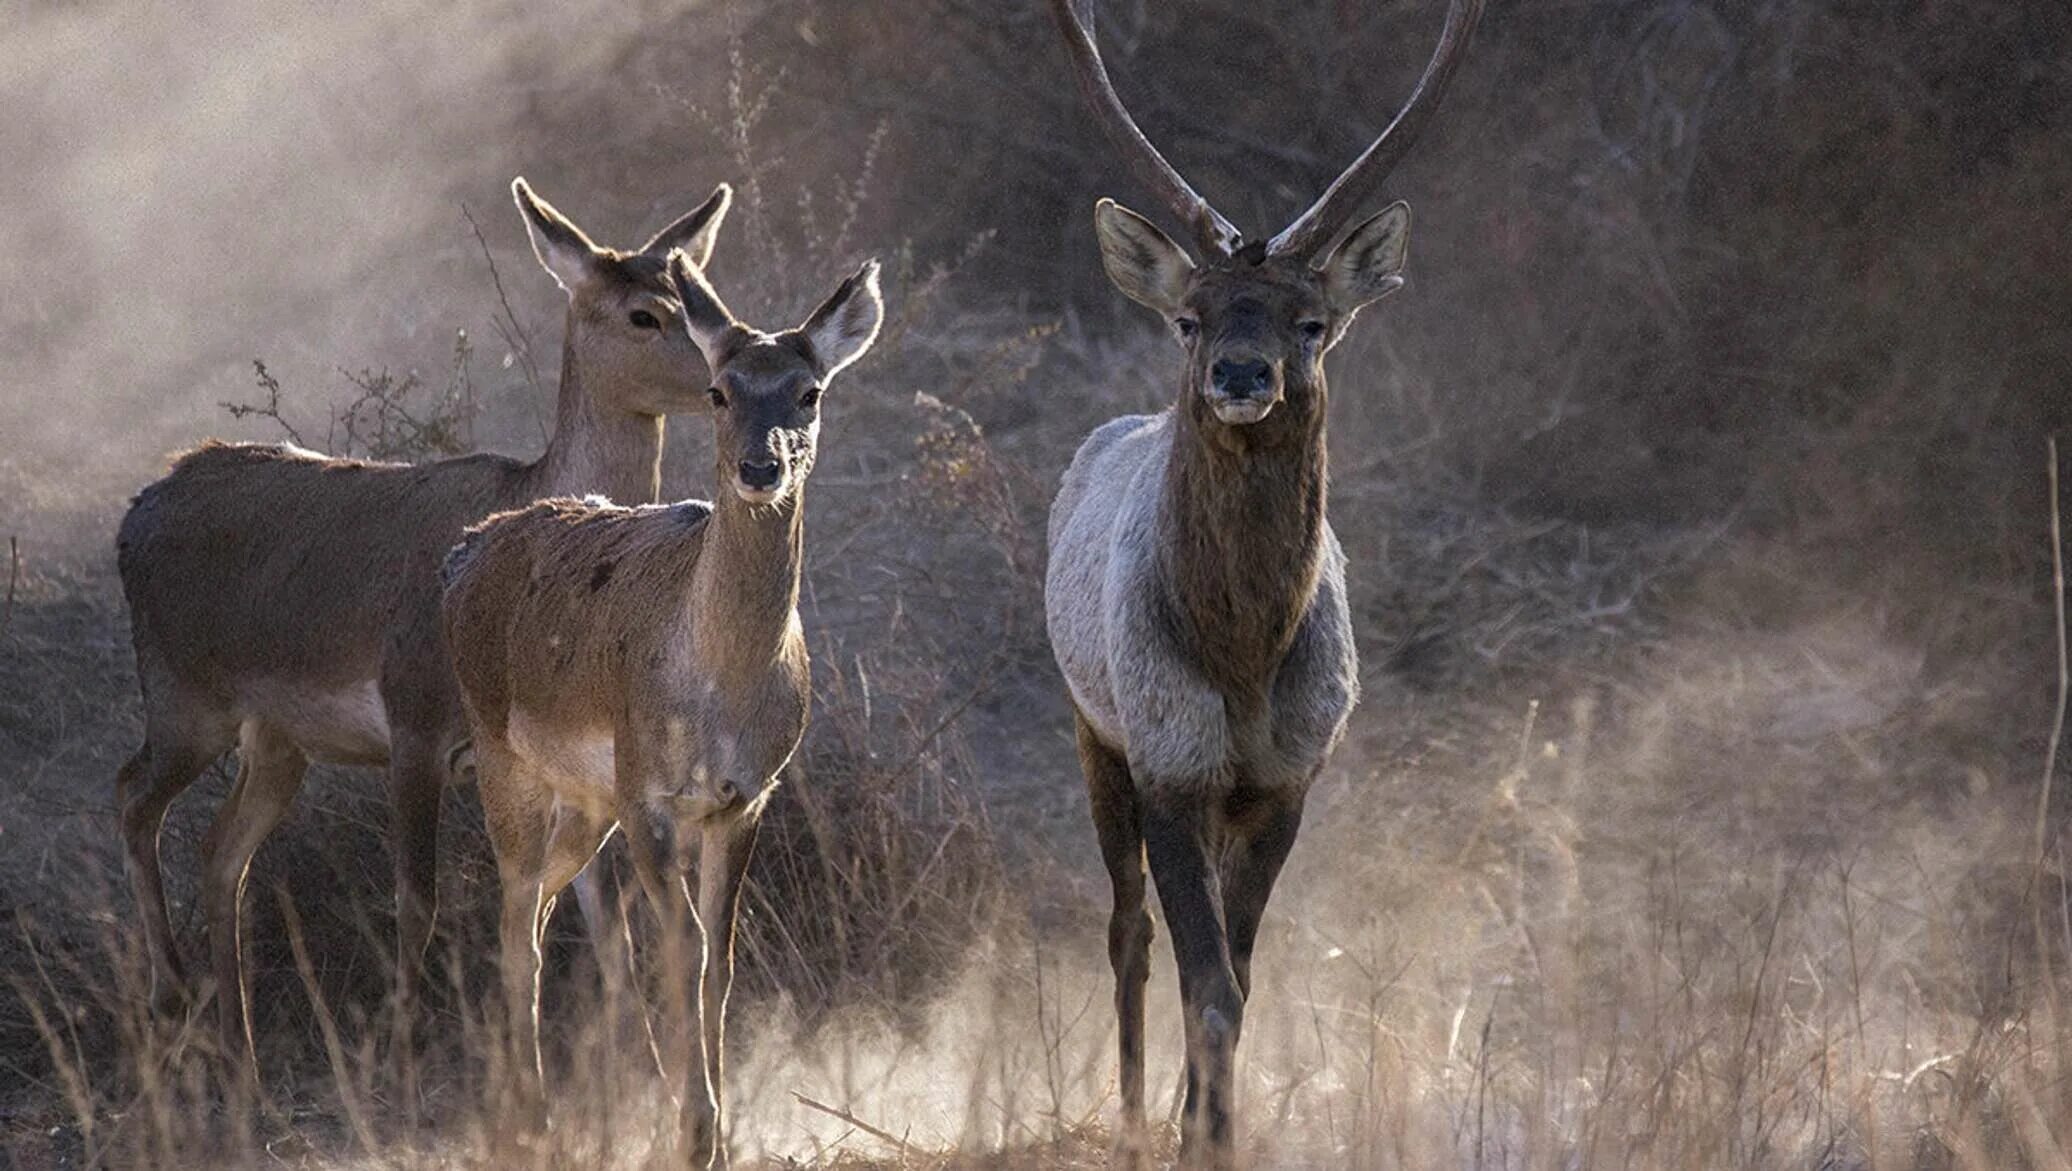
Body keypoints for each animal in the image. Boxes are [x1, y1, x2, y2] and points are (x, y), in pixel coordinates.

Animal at [111, 176, 737, 1077]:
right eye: (643, 314)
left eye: (704, 295)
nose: (726, 380)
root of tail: (134, 514)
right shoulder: (414, 719)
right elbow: (419, 901)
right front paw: (405, 1059)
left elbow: (601, 914)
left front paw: (640, 1063)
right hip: (183, 696)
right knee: (132, 799)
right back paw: (172, 994)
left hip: (276, 738)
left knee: (221, 851)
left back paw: (240, 1051)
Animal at [445, 246, 882, 1160]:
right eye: (720, 389)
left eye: (809, 390)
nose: (760, 468)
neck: (716, 686)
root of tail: (462, 556)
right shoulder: (648, 791)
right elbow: (681, 949)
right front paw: (692, 1127)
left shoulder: (745, 797)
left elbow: (721, 956)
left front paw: (719, 1130)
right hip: (505, 763)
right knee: (515, 922)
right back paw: (532, 1123)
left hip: (585, 801)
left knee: (540, 909)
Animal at [1044, 0, 1483, 1160]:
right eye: (1190, 316)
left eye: (1309, 320)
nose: (1240, 374)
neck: (1243, 657)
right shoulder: (1169, 758)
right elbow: (1202, 981)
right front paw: (1195, 1134)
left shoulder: (1288, 776)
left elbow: (1237, 978)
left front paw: (1214, 1127)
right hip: (1091, 728)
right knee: (1125, 929)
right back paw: (1130, 1108)